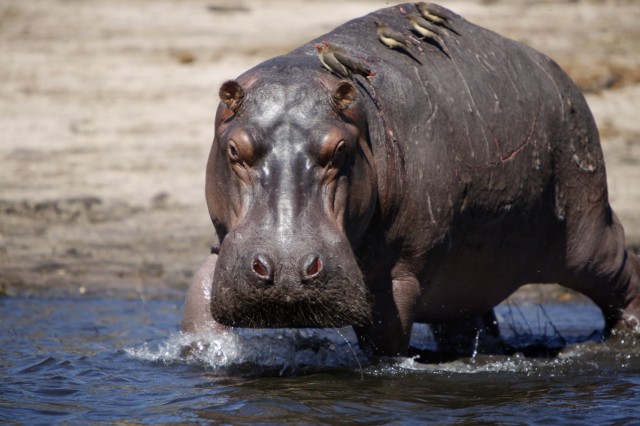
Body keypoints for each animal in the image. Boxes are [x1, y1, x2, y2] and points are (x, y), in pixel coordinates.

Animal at [180, 2, 640, 356]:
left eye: (340, 149)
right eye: (234, 149)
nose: (287, 269)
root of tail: (558, 72)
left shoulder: (400, 274)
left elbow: (385, 341)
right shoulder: (222, 248)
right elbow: (200, 299)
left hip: (585, 228)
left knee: (623, 271)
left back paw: (624, 338)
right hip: (469, 275)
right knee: (469, 321)